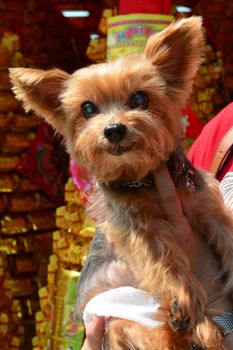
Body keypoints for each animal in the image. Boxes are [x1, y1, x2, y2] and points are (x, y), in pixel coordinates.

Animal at [8, 17, 233, 350]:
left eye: (139, 98)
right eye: (88, 108)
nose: (114, 129)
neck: (143, 178)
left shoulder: (204, 204)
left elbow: (227, 234)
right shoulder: (136, 226)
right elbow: (164, 257)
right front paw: (183, 297)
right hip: (117, 322)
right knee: (157, 335)